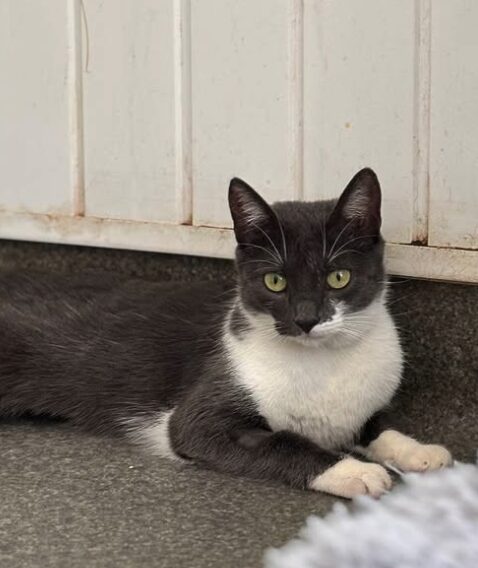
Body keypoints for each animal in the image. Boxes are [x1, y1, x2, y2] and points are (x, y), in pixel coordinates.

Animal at [0, 169, 452, 496]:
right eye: (275, 282)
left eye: (338, 276)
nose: (306, 319)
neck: (323, 364)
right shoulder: (199, 417)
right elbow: (280, 440)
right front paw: (354, 471)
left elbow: (379, 424)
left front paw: (419, 451)